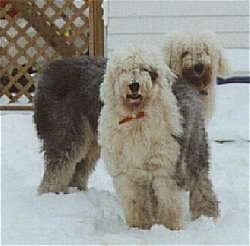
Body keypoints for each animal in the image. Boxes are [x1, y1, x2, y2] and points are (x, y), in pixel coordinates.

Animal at [33, 55, 219, 219]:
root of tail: (48, 70)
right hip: (66, 133)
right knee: (58, 168)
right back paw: (50, 195)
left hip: (91, 142)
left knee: (77, 169)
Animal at [98, 46, 183, 231]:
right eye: (124, 70)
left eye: (145, 69)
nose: (134, 85)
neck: (136, 116)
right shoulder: (126, 171)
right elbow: (134, 201)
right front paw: (138, 226)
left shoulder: (162, 165)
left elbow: (168, 199)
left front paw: (170, 227)